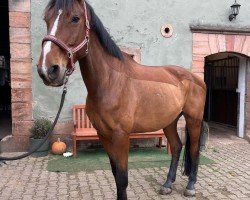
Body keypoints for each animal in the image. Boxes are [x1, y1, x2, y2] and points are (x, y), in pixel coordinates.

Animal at [36, 0, 205, 199]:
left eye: (75, 18)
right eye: (46, 19)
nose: (48, 70)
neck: (111, 82)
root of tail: (195, 78)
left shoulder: (121, 136)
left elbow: (122, 178)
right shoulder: (104, 134)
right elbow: (116, 174)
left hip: (193, 120)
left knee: (193, 149)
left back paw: (191, 186)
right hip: (169, 121)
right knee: (177, 146)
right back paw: (167, 184)